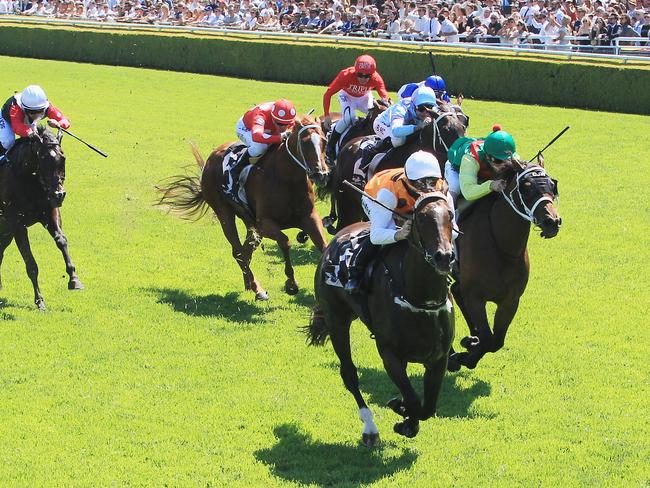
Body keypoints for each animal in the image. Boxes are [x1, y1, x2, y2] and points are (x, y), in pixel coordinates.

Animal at [0, 126, 83, 308]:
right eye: (43, 158)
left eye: (63, 157)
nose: (60, 195)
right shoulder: (17, 224)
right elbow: (30, 263)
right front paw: (39, 300)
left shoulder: (50, 212)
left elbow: (61, 240)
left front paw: (74, 279)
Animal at [157, 117, 330, 304]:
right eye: (304, 143)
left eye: (324, 141)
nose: (321, 174)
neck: (287, 178)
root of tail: (211, 158)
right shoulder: (265, 224)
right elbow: (285, 242)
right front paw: (291, 284)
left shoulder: (310, 218)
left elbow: (324, 246)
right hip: (224, 212)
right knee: (238, 251)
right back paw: (258, 289)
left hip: (248, 218)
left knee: (247, 248)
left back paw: (249, 283)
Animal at [306, 179, 454, 446]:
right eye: (420, 218)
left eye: (450, 214)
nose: (444, 257)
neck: (420, 300)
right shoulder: (390, 354)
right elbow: (414, 400)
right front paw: (402, 413)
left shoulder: (439, 358)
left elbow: (427, 407)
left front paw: (405, 416)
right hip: (336, 320)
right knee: (349, 374)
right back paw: (370, 428)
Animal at [446, 158, 560, 372]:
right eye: (526, 187)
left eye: (552, 185)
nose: (552, 222)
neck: (502, 247)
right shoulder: (475, 297)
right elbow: (487, 338)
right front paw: (465, 355)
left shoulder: (510, 300)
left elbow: (496, 341)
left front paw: (470, 346)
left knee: (456, 290)